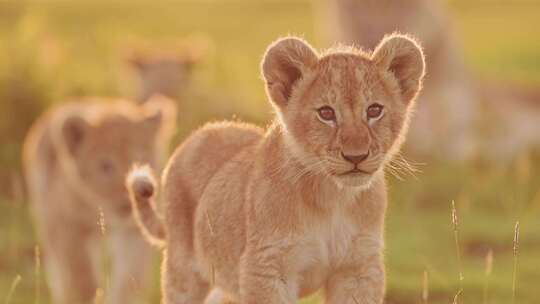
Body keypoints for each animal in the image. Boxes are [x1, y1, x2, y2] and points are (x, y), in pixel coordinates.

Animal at [22, 97, 177, 304]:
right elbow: (80, 275)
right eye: (105, 166)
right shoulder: (67, 225)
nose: (127, 201)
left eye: (141, 159)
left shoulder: (134, 231)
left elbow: (130, 275)